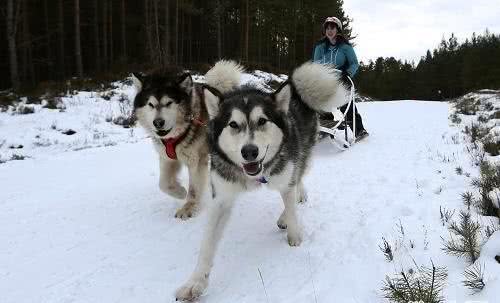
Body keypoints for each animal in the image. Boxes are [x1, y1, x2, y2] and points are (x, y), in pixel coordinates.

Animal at [131, 61, 240, 218]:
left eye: (169, 103)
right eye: (150, 104)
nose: (158, 123)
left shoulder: (196, 160)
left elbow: (194, 188)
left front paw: (189, 206)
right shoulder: (166, 158)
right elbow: (163, 184)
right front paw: (180, 192)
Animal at [176, 61, 348, 302]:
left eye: (262, 121)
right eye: (233, 124)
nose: (249, 151)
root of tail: (296, 90)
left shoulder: (286, 175)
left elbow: (291, 203)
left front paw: (294, 235)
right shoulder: (221, 198)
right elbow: (207, 245)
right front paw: (195, 282)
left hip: (300, 152)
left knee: (298, 177)